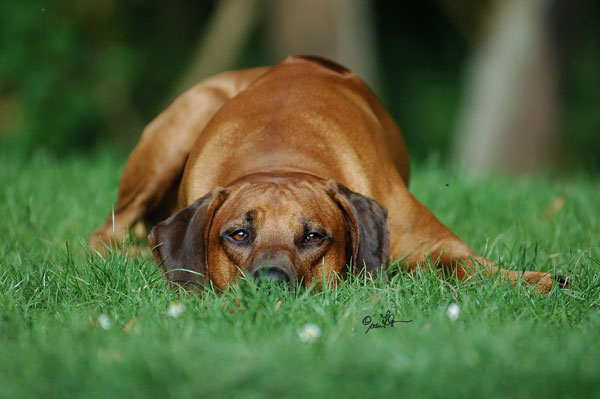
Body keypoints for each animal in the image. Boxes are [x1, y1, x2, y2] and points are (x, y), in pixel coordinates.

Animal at [89, 55, 568, 294]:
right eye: (238, 234)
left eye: (315, 236)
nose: (271, 284)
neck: (277, 157)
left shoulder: (435, 244)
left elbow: (467, 263)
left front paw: (533, 280)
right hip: (184, 120)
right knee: (106, 235)